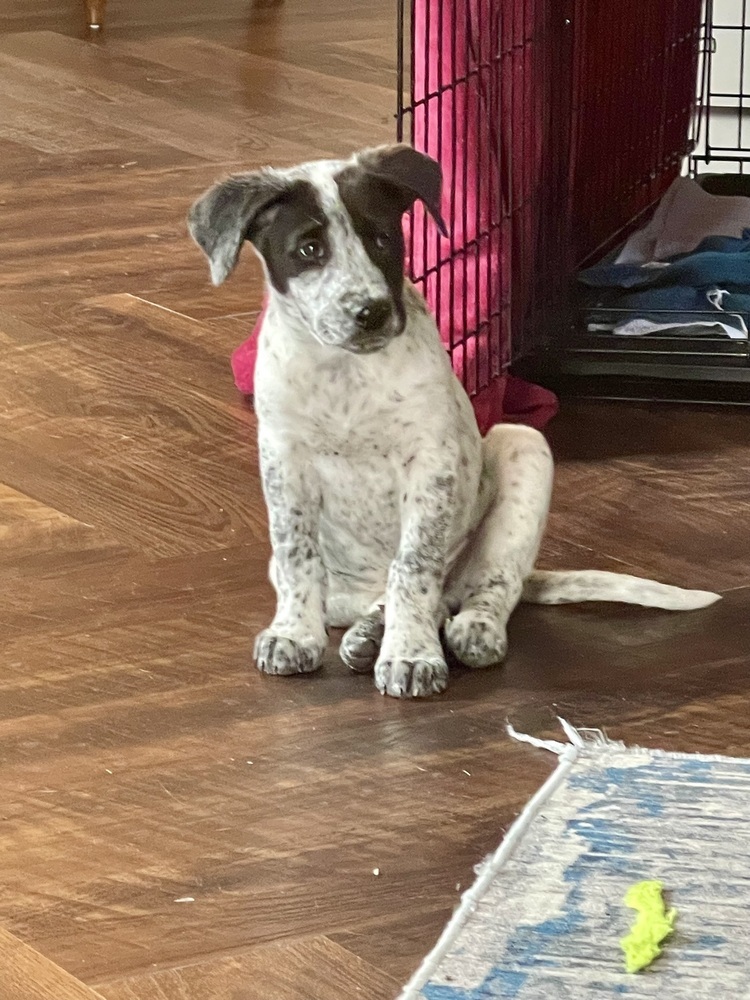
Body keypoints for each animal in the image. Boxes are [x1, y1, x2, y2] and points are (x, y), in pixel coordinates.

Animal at [189, 145, 724, 700]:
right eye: (309, 249)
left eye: (383, 239)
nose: (372, 312)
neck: (346, 373)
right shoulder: (284, 459)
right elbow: (298, 553)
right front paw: (295, 632)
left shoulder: (430, 460)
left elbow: (414, 564)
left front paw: (410, 653)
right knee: (361, 595)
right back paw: (367, 631)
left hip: (522, 445)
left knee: (484, 585)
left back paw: (467, 628)